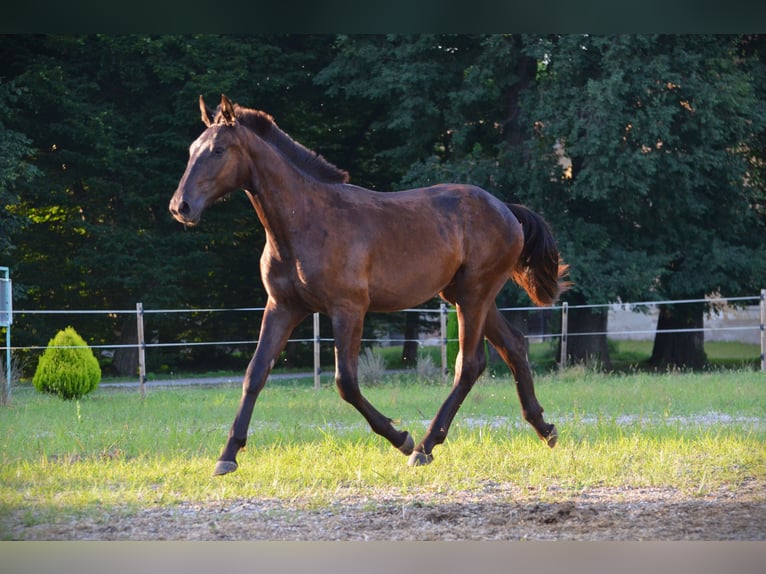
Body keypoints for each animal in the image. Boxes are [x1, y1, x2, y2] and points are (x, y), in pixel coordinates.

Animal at [171, 93, 572, 476]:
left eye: (218, 150)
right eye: (191, 150)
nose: (181, 207)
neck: (305, 223)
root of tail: (507, 210)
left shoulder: (348, 309)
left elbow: (345, 382)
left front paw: (401, 438)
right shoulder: (282, 306)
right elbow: (255, 374)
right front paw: (227, 456)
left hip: (474, 294)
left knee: (470, 363)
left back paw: (425, 446)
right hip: (467, 295)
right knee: (514, 346)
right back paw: (545, 429)